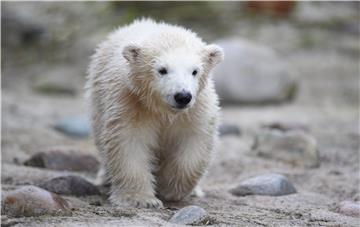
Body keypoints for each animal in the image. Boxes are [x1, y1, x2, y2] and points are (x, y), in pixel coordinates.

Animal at [85, 18, 224, 208]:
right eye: (162, 70)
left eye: (195, 71)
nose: (182, 96)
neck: (163, 110)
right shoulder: (130, 103)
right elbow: (128, 142)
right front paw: (140, 199)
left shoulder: (196, 110)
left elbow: (193, 144)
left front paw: (169, 189)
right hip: (98, 104)